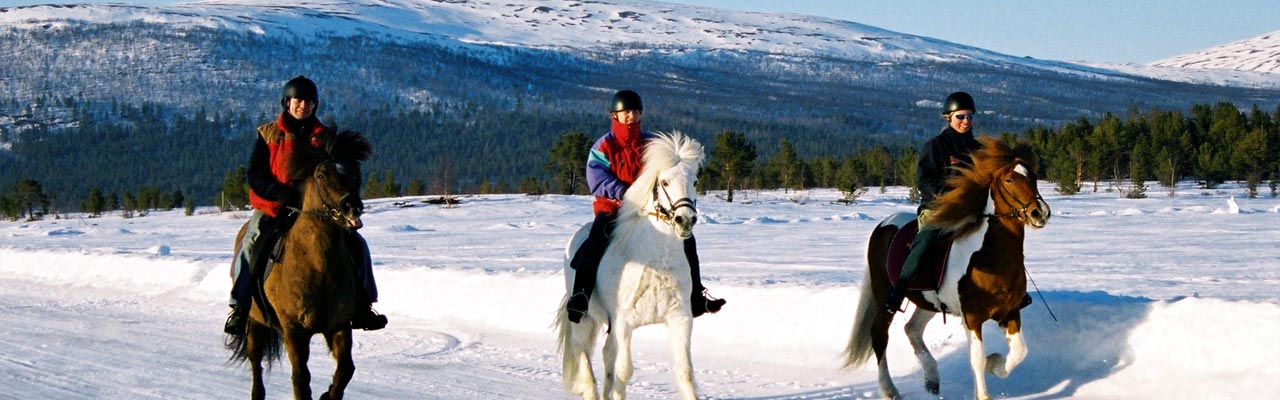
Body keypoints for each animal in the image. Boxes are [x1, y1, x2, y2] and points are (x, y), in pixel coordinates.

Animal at [225, 129, 373, 397]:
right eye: (322, 175)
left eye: (354, 172)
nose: (352, 206)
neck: (317, 264)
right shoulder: (294, 330)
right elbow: (301, 379)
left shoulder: (339, 325)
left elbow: (345, 370)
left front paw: (327, 395)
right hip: (255, 323)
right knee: (255, 362)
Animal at [555, 131, 706, 400]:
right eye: (664, 182)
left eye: (695, 181)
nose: (685, 220)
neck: (657, 258)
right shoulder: (624, 322)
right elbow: (624, 372)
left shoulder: (680, 318)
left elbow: (685, 373)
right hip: (584, 317)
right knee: (583, 353)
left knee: (606, 353)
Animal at [839, 135, 1049, 397]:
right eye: (1010, 179)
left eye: (1033, 177)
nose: (1040, 213)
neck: (988, 256)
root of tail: (883, 225)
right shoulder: (972, 317)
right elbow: (976, 358)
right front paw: (983, 394)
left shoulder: (1009, 312)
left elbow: (1019, 352)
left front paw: (994, 363)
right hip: (884, 295)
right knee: (880, 336)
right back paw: (890, 390)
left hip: (928, 301)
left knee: (912, 329)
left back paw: (931, 379)